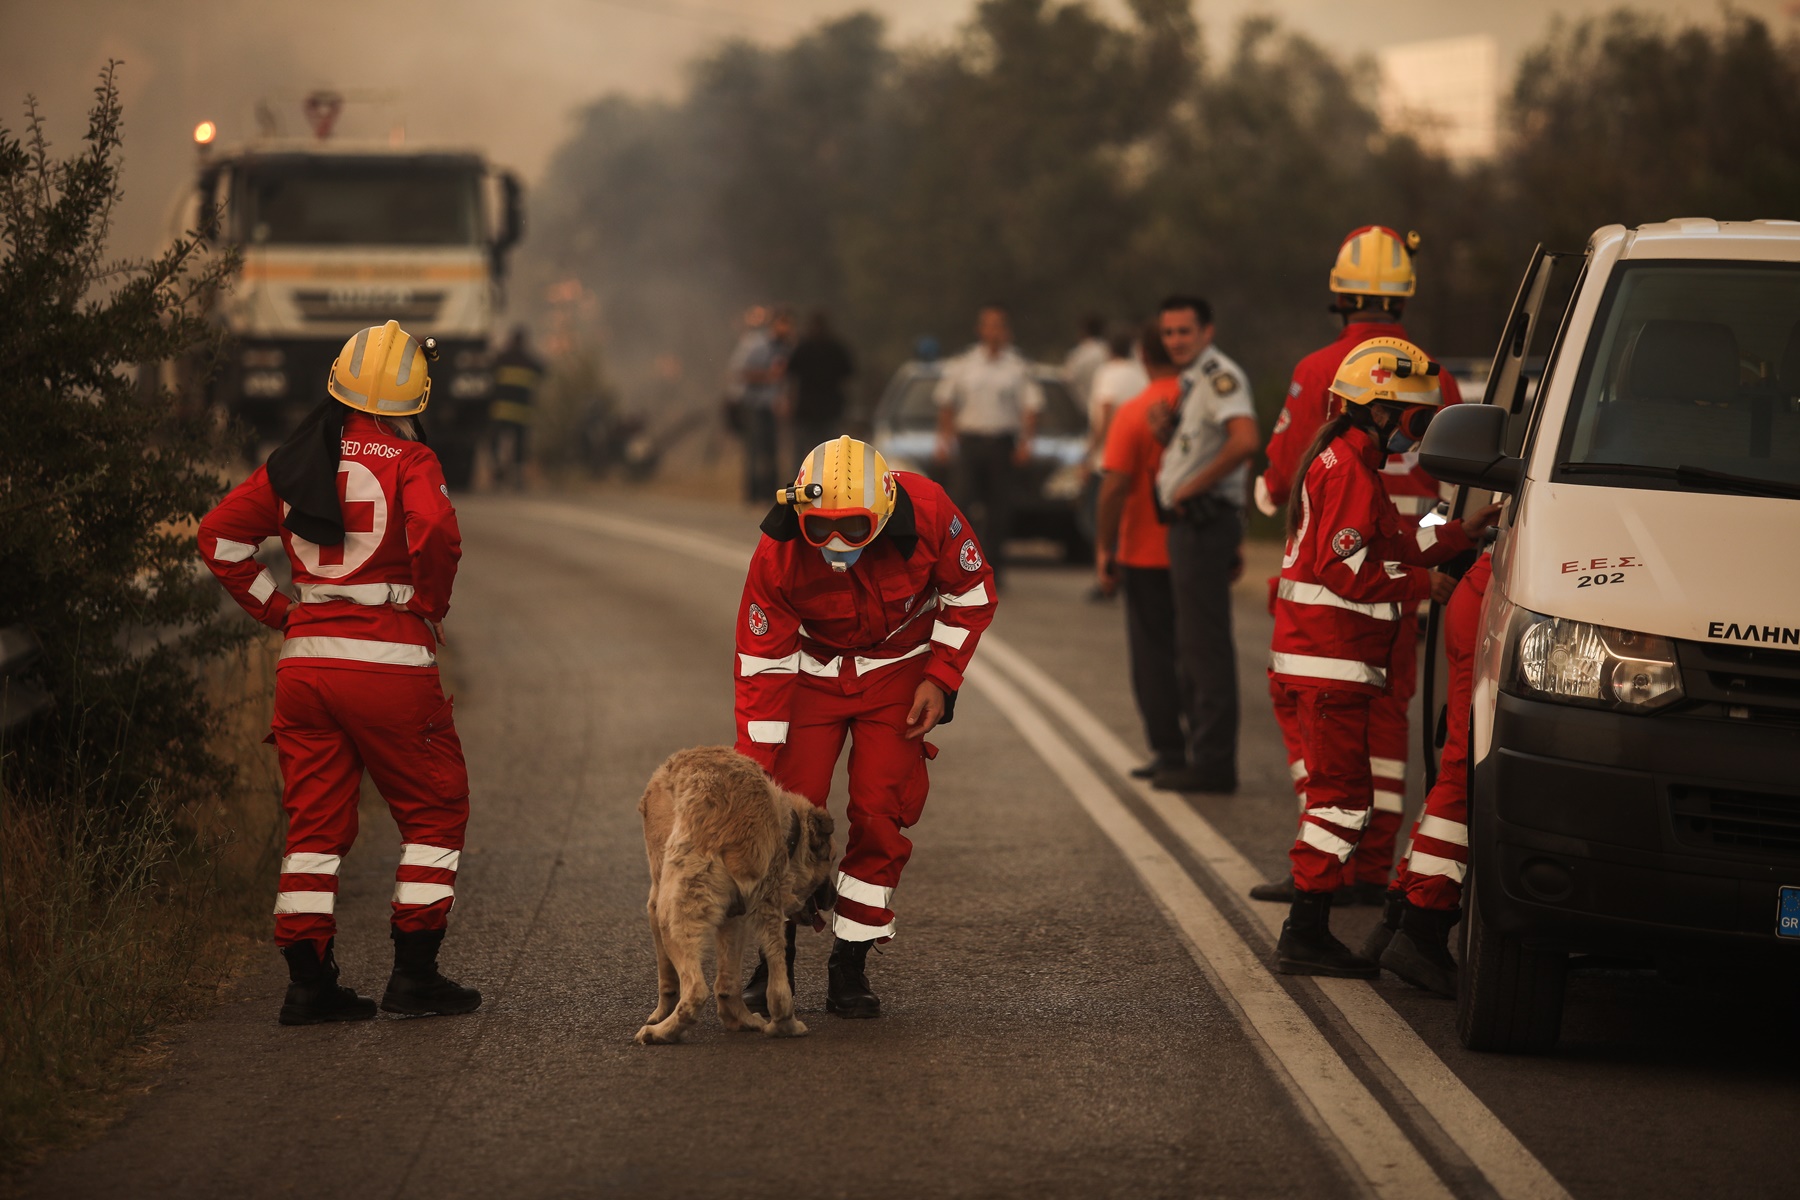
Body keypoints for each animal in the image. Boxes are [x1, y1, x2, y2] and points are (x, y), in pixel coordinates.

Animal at [640, 744, 835, 1043]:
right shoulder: (737, 913)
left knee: (696, 991)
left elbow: (667, 978)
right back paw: (772, 1024)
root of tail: (745, 822)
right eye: (832, 860)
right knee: (765, 986)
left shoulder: (654, 900)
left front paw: (660, 1014)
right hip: (751, 914)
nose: (835, 898)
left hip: (670, 913)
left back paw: (660, 1032)